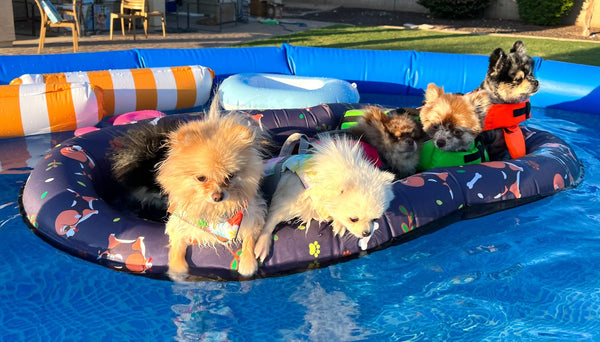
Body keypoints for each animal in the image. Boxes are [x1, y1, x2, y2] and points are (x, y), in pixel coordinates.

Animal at [157, 99, 268, 280]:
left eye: (230, 176)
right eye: (201, 178)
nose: (218, 196)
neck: (214, 211)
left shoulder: (254, 216)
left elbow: (249, 239)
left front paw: (247, 263)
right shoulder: (179, 222)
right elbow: (177, 244)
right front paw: (177, 269)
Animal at [255, 135, 396, 264]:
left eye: (375, 219)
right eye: (353, 219)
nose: (367, 233)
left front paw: (339, 224)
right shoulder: (286, 202)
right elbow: (270, 222)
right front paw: (262, 244)